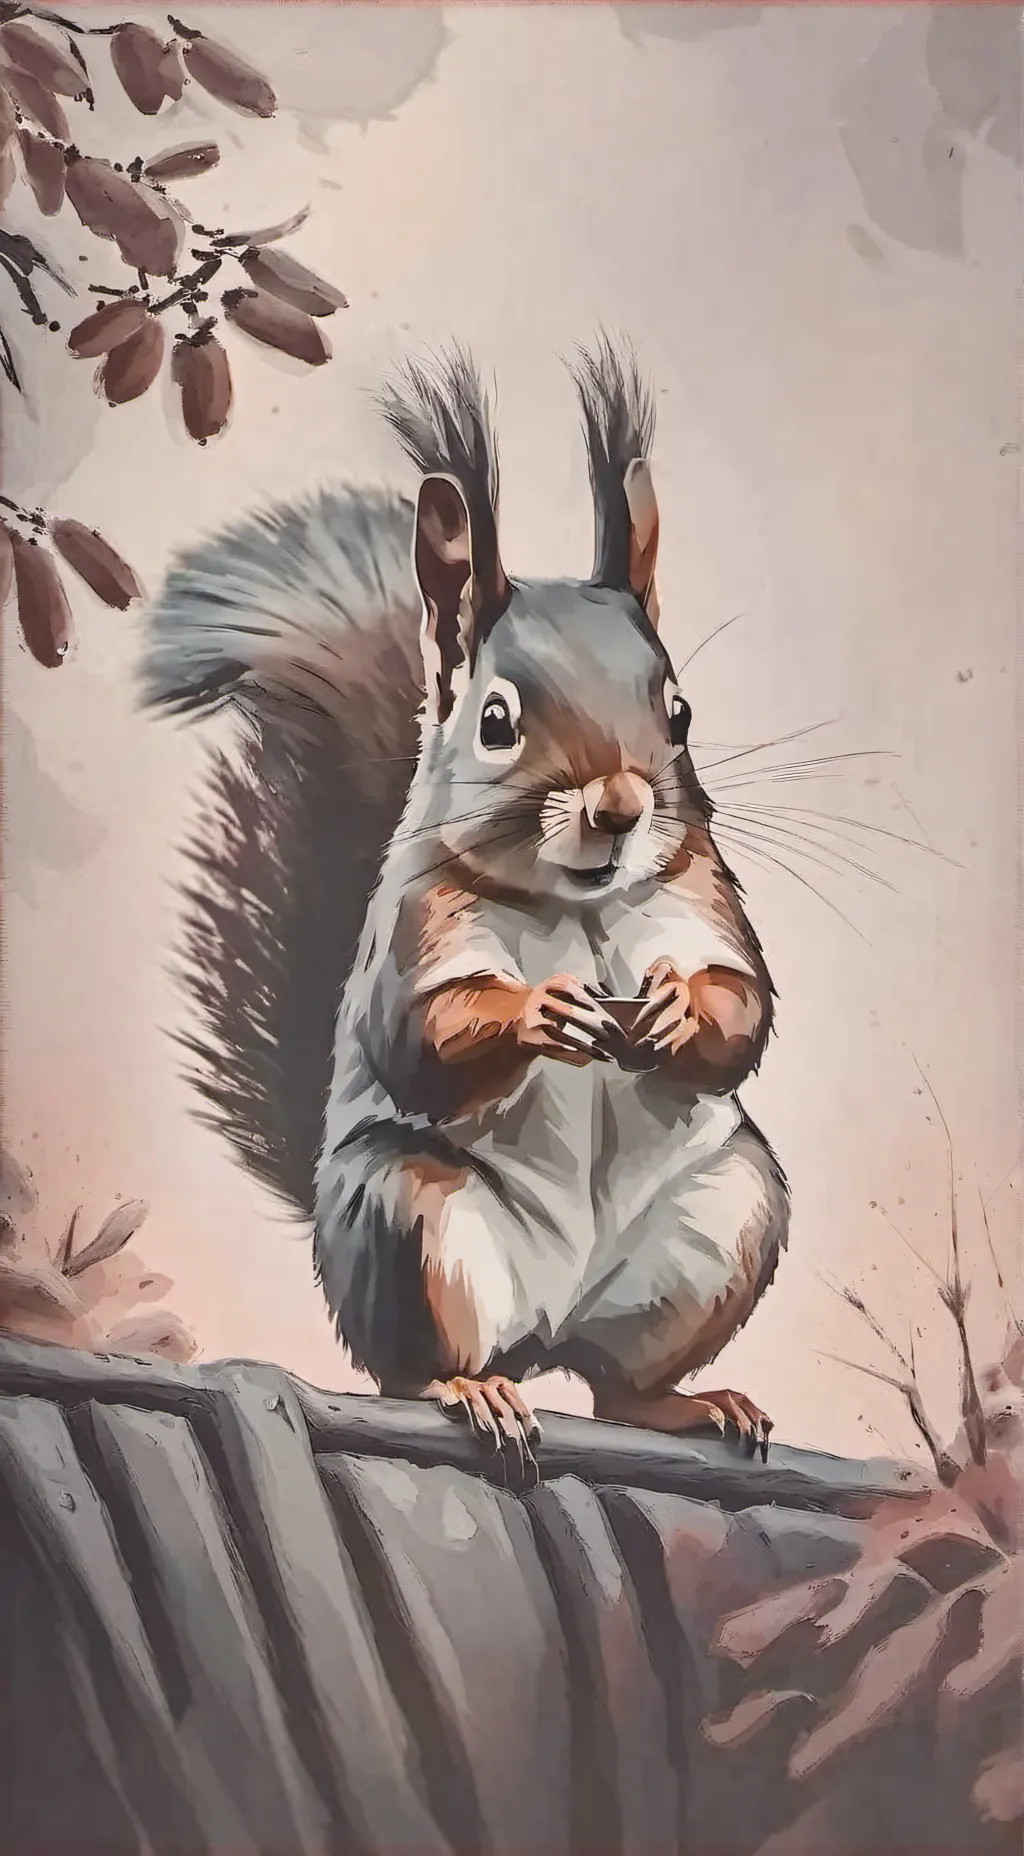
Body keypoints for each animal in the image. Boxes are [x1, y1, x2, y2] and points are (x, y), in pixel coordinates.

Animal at [140, 338, 790, 1487]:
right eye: (496, 721)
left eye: (679, 712)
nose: (621, 806)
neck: (584, 908)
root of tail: (549, 1328)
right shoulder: (416, 926)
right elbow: (419, 1038)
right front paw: (541, 1010)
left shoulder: (703, 896)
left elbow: (743, 1006)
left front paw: (673, 1006)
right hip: (411, 1217)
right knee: (415, 1368)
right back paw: (471, 1389)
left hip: (724, 1220)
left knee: (618, 1386)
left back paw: (690, 1402)